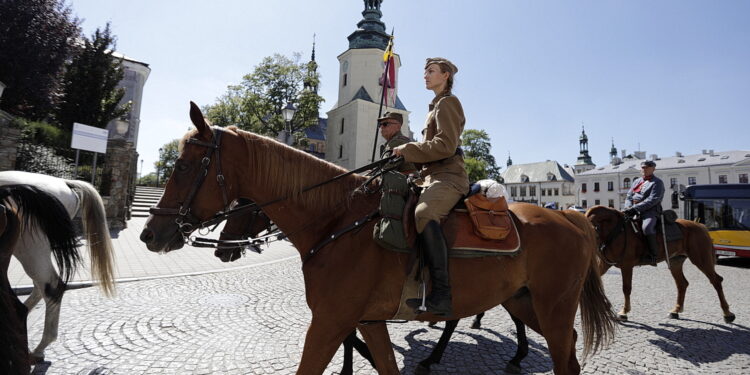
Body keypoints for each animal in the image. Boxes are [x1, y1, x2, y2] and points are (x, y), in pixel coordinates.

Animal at [141, 103, 616, 375]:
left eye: (184, 166)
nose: (149, 233)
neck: (336, 219)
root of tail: (571, 218)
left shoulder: (330, 320)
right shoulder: (366, 321)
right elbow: (382, 364)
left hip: (553, 306)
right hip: (525, 302)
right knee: (568, 357)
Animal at [588, 206, 736, 324]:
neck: (616, 231)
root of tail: (700, 226)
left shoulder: (627, 266)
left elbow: (626, 288)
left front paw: (624, 312)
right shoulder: (604, 265)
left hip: (701, 260)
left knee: (716, 281)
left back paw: (727, 314)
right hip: (676, 262)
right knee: (682, 284)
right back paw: (676, 310)